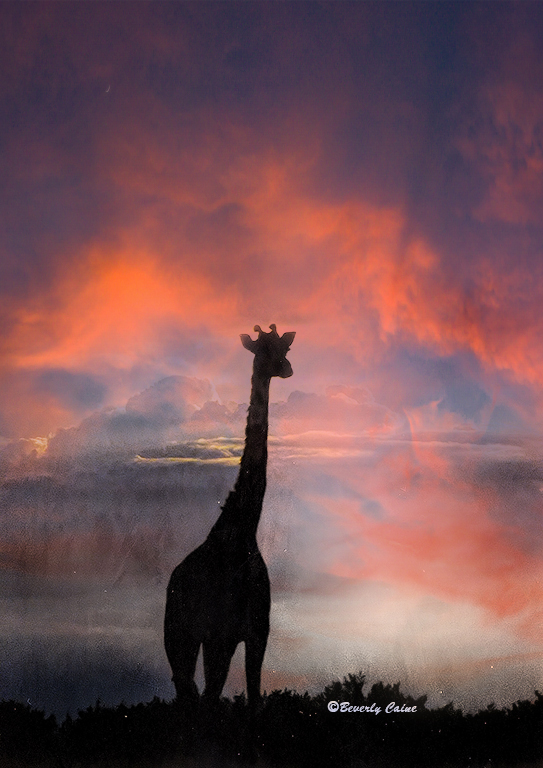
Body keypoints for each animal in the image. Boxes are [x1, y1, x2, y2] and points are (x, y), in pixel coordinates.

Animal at [164, 324, 295, 713]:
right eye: (262, 350)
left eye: (283, 347)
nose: (286, 368)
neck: (241, 531)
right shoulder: (221, 635)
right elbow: (221, 698)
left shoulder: (256, 634)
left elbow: (254, 698)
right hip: (179, 636)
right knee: (191, 693)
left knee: (192, 693)